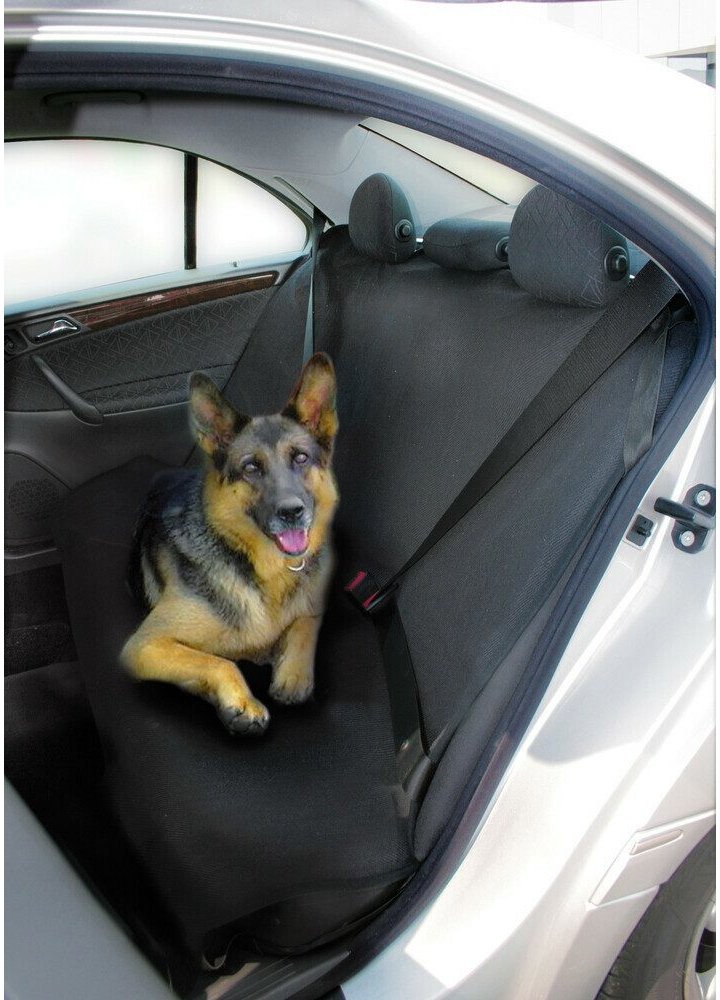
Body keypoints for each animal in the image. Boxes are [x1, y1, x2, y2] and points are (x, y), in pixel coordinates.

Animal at [121, 352, 339, 735]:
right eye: (251, 467)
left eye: (300, 458)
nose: (292, 512)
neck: (266, 572)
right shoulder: (145, 646)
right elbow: (218, 662)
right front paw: (242, 703)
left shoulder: (315, 598)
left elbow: (307, 620)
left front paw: (294, 674)